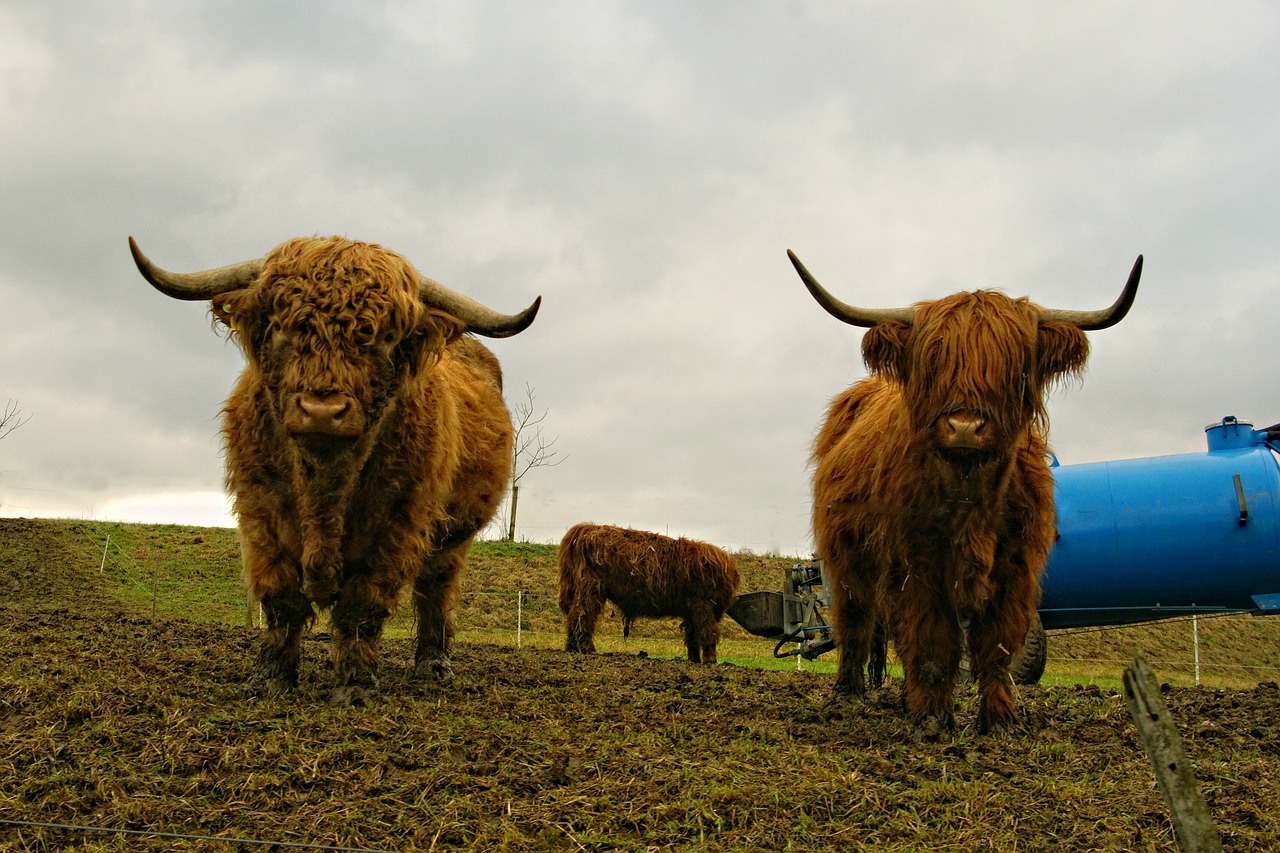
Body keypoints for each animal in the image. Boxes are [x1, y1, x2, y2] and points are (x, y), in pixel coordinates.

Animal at [124, 234, 535, 701]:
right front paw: (270, 680)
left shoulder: (397, 523)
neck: (324, 485)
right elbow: (281, 600)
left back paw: (434, 665)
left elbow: (362, 605)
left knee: (435, 590)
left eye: (383, 337)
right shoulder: (260, 513)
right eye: (281, 326)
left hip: (454, 535)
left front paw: (354, 683)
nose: (322, 411)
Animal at [558, 522, 742, 660]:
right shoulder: (703, 606)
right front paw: (710, 662)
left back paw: (571, 648)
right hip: (591, 588)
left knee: (573, 616)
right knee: (582, 615)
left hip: (579, 588)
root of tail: (587, 528)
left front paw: (694, 660)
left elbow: (693, 637)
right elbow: (707, 634)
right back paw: (588, 649)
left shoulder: (692, 611)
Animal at [788, 249, 1141, 732]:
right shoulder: (916, 564)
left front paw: (1001, 720)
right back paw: (849, 694)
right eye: (933, 361)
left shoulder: (1015, 567)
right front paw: (934, 720)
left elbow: (997, 647)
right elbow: (932, 642)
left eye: (1012, 363)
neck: (970, 495)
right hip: (847, 555)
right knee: (855, 620)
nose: (965, 426)